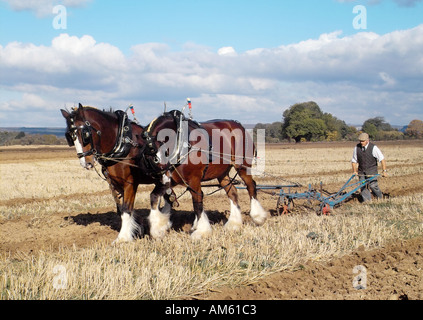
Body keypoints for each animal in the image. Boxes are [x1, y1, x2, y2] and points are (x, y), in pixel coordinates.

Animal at [61, 104, 266, 241]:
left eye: (85, 134)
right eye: (70, 136)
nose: (85, 161)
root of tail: (237, 125)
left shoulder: (132, 183)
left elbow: (196, 203)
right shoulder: (118, 184)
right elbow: (137, 204)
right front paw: (155, 227)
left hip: (242, 166)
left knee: (251, 186)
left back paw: (257, 217)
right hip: (221, 173)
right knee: (232, 191)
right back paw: (233, 224)